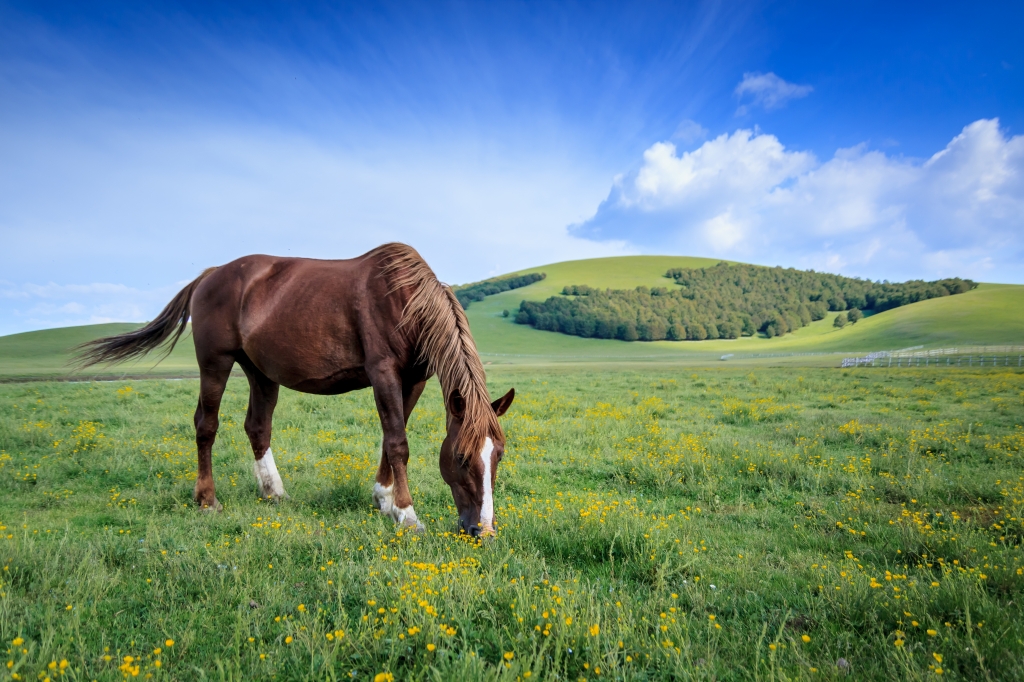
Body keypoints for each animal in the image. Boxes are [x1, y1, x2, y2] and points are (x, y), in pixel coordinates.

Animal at [76, 243, 515, 537]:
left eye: (498, 455)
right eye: (460, 457)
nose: (483, 531)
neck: (405, 300)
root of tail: (210, 274)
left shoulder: (415, 379)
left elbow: (390, 437)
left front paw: (384, 498)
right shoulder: (384, 373)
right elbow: (397, 442)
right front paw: (406, 514)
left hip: (261, 372)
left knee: (257, 427)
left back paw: (274, 492)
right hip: (215, 363)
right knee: (206, 425)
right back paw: (207, 500)